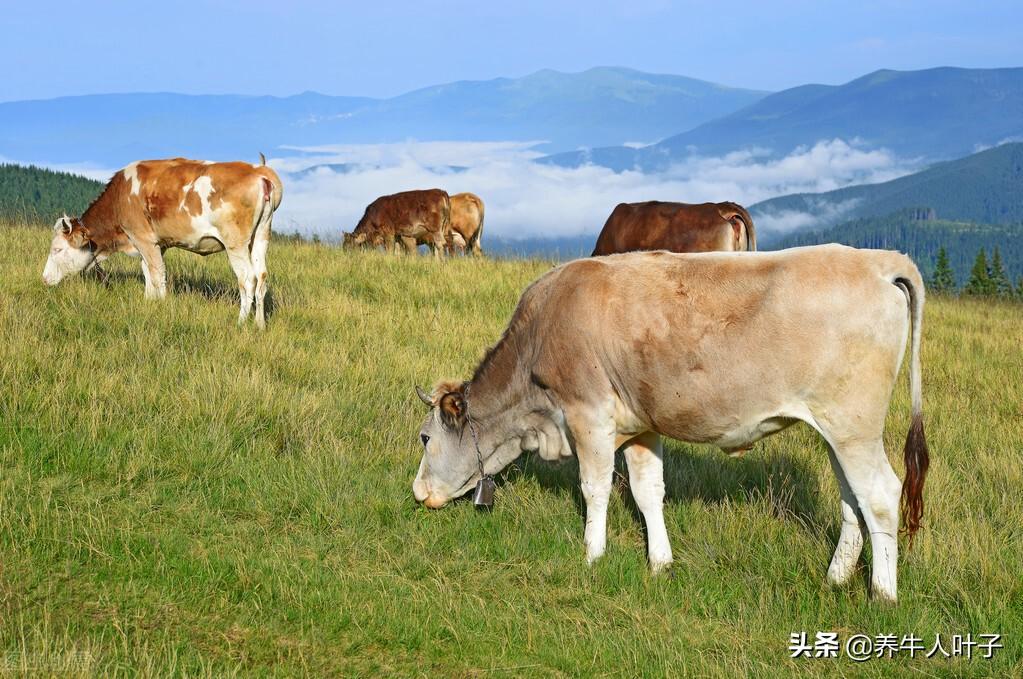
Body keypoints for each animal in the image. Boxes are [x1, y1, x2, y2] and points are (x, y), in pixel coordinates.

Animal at [413, 242, 928, 601]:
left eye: (423, 437)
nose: (418, 493)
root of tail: (879, 261)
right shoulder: (643, 426)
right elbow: (648, 492)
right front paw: (660, 563)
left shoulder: (587, 413)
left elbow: (594, 489)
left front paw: (592, 556)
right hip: (836, 432)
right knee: (851, 501)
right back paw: (836, 578)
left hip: (854, 427)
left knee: (881, 495)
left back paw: (883, 593)